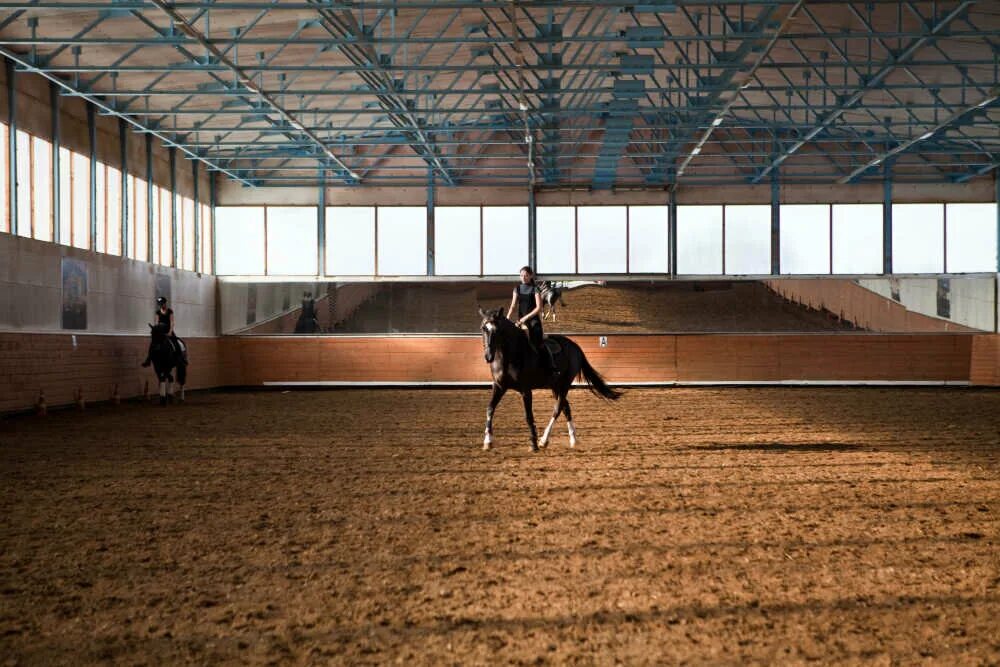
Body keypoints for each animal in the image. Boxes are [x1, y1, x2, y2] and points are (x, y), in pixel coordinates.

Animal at [480, 308, 620, 454]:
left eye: (497, 330)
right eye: (483, 328)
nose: (488, 357)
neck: (509, 357)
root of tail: (575, 346)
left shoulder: (526, 390)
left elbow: (528, 416)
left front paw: (533, 444)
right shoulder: (499, 386)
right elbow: (490, 409)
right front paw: (487, 441)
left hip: (564, 385)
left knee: (557, 409)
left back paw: (543, 440)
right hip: (555, 386)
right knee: (566, 408)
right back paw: (573, 440)